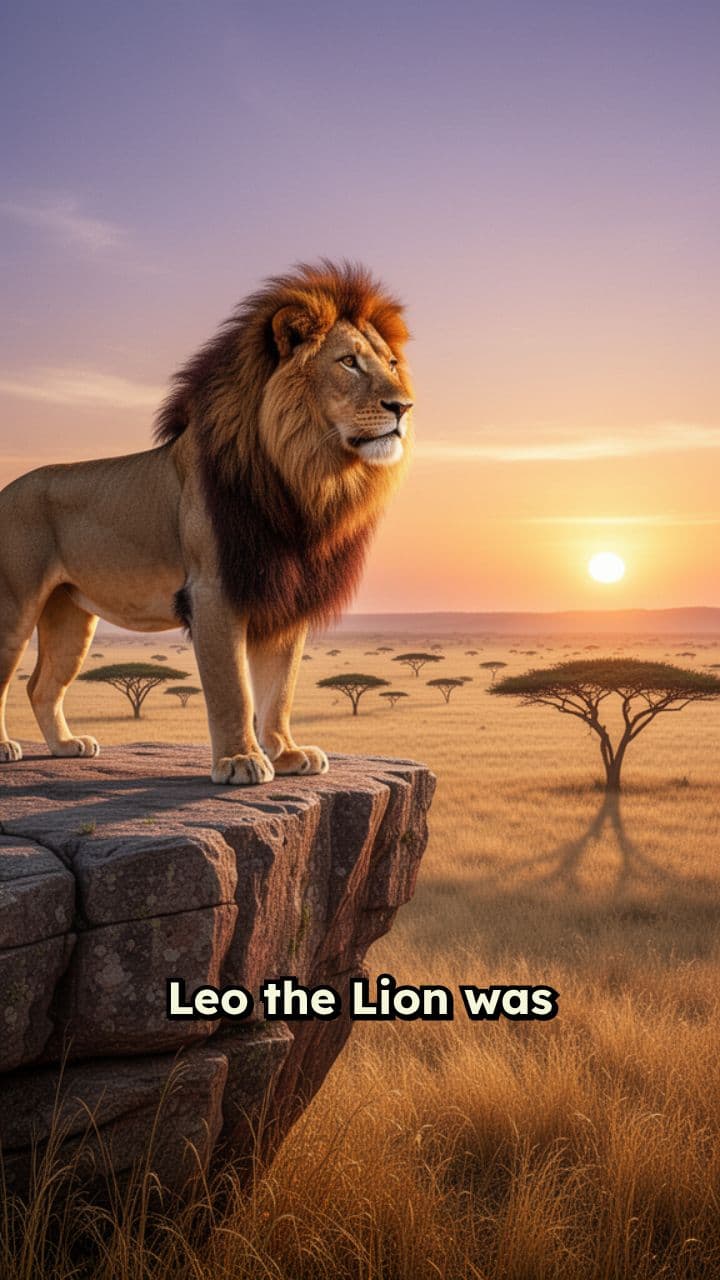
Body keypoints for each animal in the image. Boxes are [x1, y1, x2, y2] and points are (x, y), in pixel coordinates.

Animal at [0, 262, 413, 784]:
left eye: (392, 365)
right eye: (348, 362)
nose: (403, 407)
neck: (301, 477)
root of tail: (5, 490)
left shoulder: (283, 595)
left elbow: (279, 689)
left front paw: (287, 753)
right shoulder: (215, 591)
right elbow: (232, 689)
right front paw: (240, 761)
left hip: (70, 615)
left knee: (41, 685)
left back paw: (66, 746)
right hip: (13, 607)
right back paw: (6, 747)